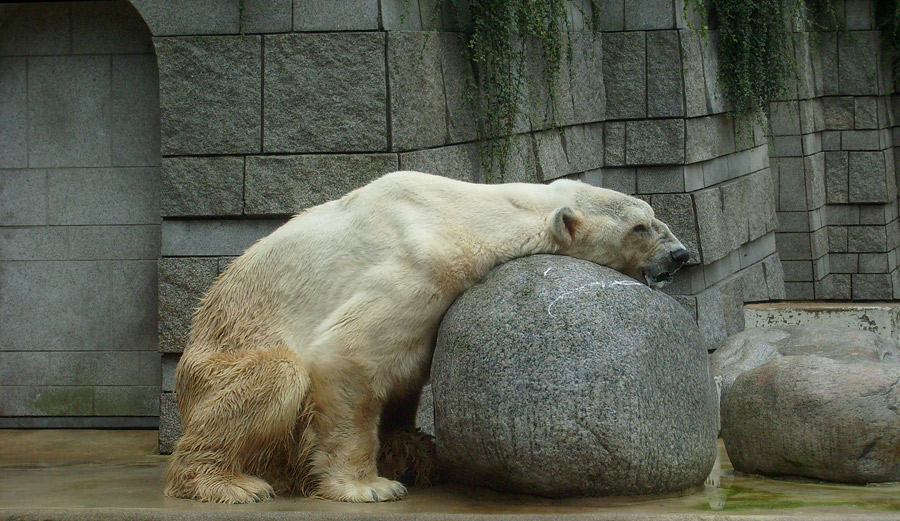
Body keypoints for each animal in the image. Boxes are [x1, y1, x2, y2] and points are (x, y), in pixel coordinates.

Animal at [165, 172, 692, 504]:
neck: (461, 212)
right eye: (640, 227)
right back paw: (229, 483)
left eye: (653, 213)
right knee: (273, 374)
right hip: (217, 362)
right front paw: (369, 486)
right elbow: (348, 355)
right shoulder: (418, 262)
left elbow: (408, 369)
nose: (681, 254)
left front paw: (411, 451)